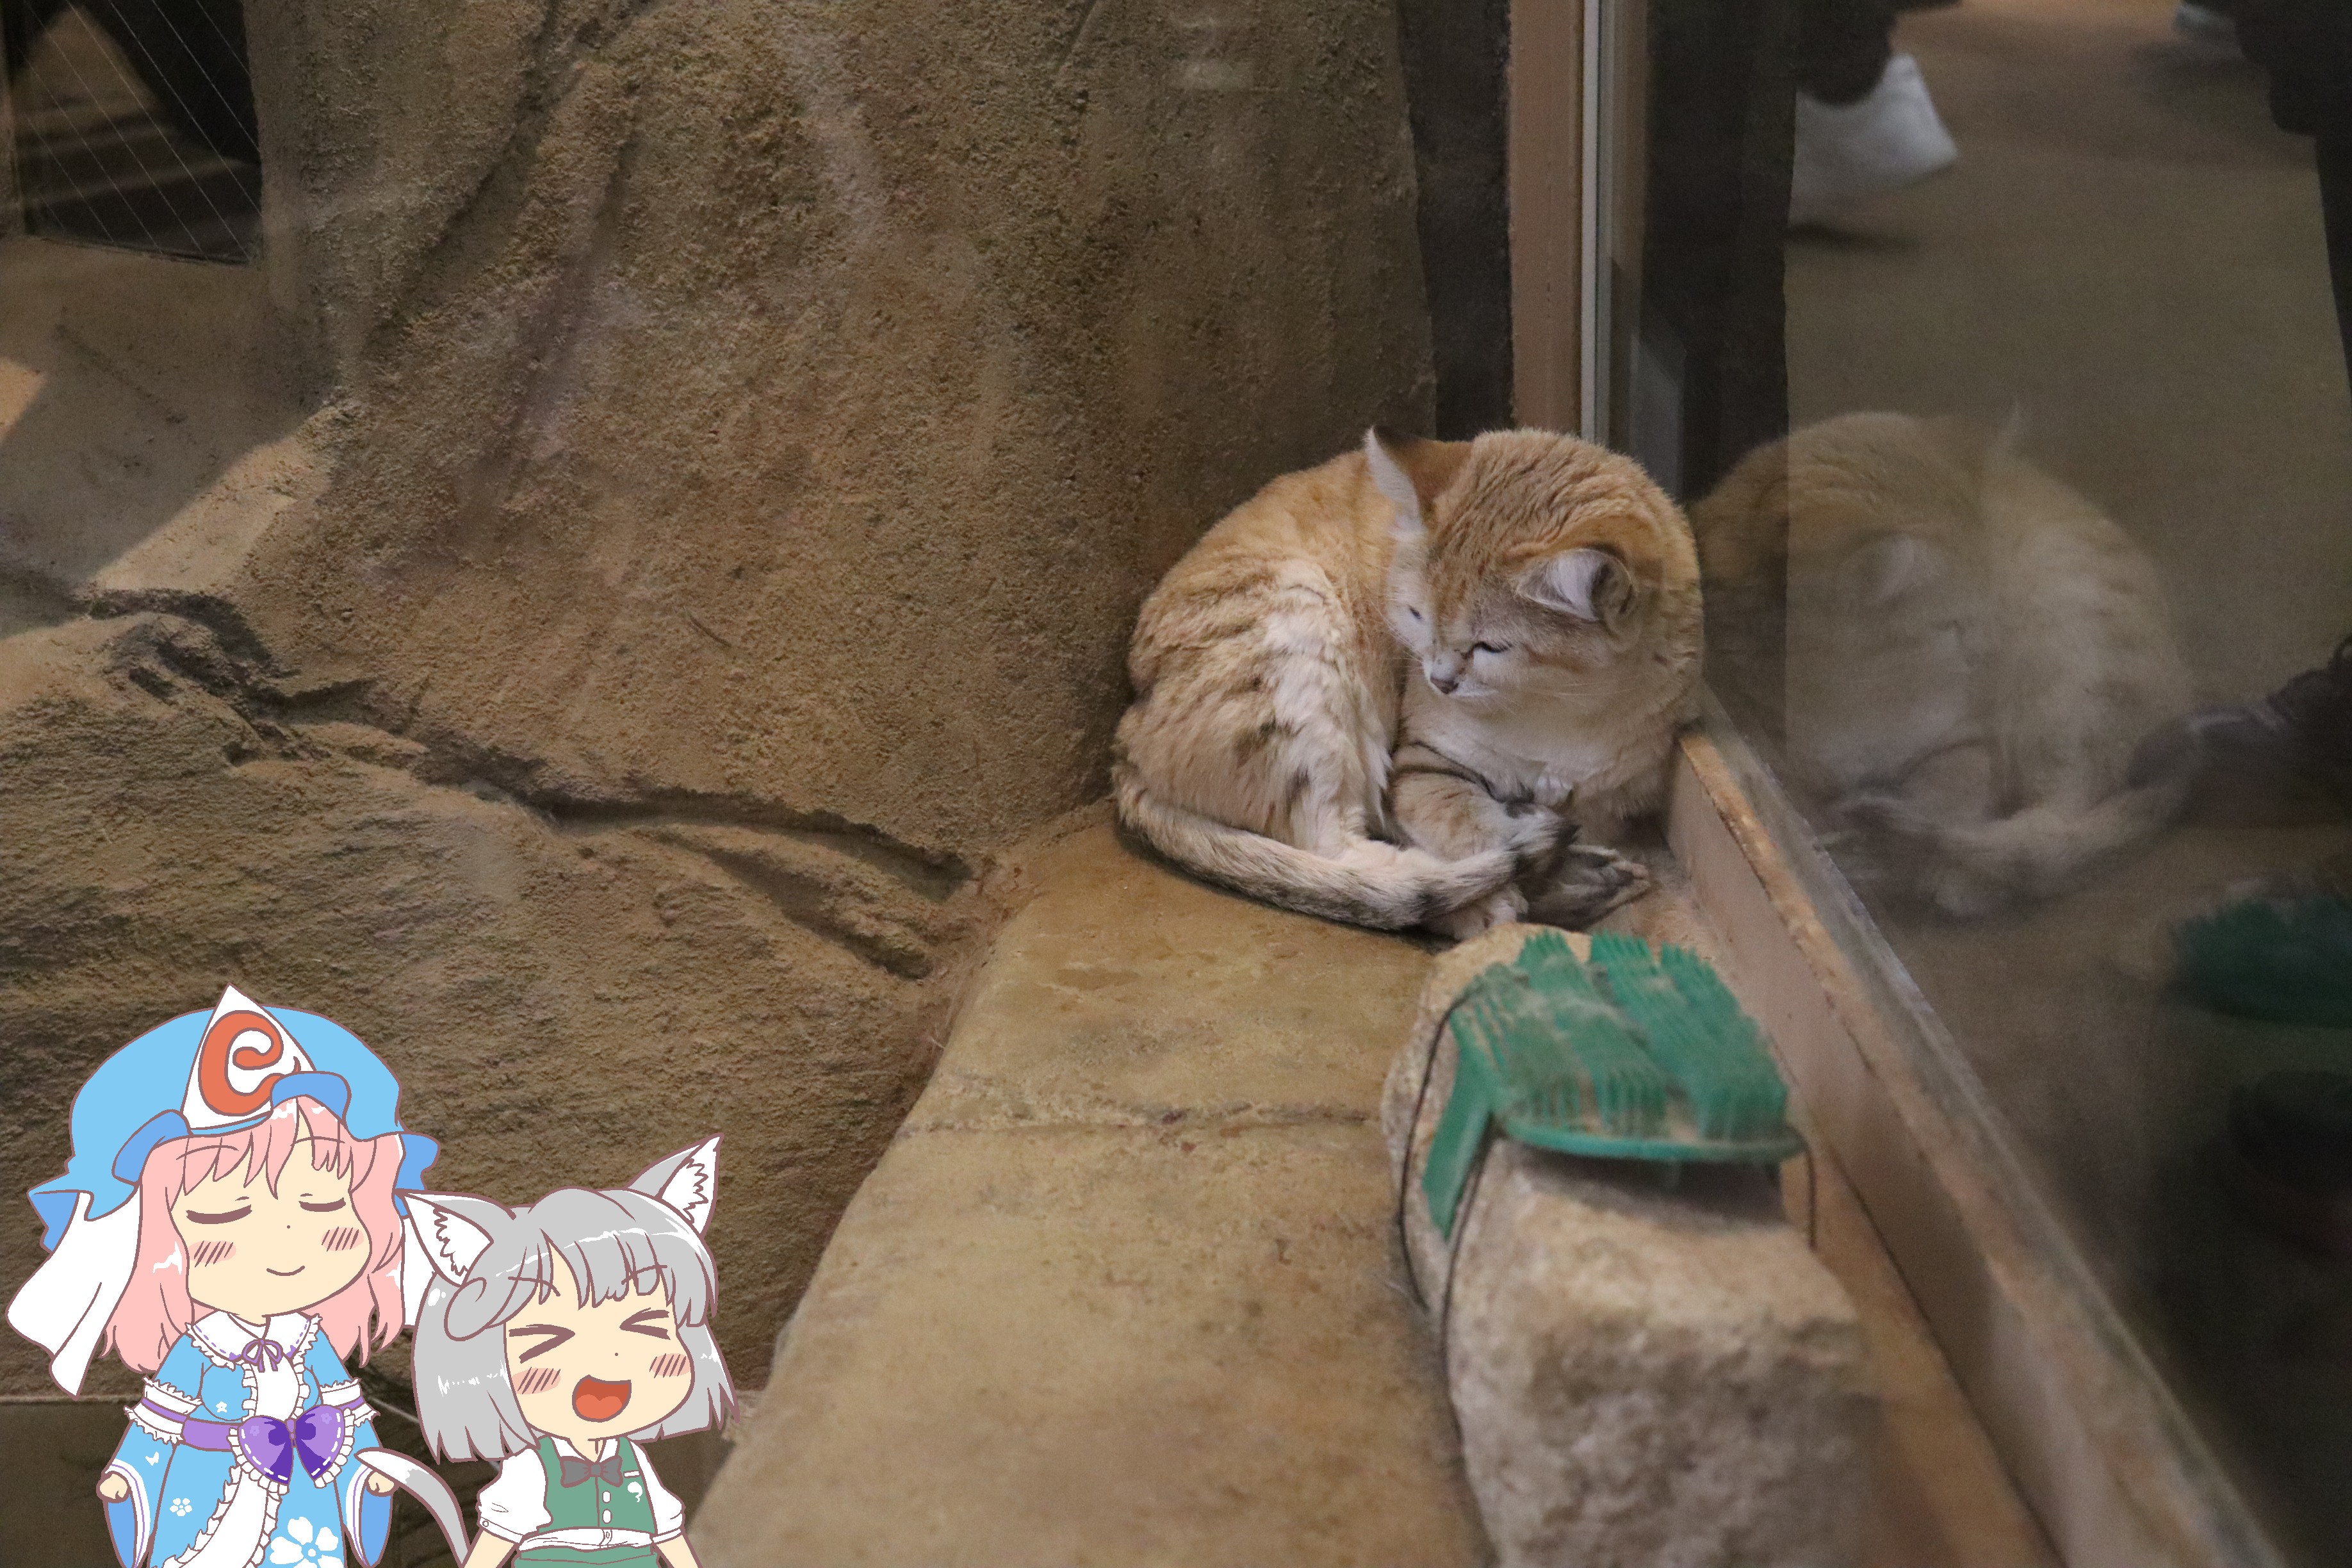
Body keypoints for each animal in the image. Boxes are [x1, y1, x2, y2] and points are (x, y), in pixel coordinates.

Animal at [1112, 427, 1704, 937]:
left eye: (1491, 647)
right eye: (1416, 616)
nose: (1439, 679)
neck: (1559, 705)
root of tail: (1127, 736)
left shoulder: (1617, 791)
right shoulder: (1421, 762)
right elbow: (1470, 824)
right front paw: (1522, 856)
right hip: (1300, 635)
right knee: (1348, 857)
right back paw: (1497, 897)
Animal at [1691, 411, 2194, 916]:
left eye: (1993, 593)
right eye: (1952, 624)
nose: (1992, 651)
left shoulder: (1971, 742)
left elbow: (1950, 794)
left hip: (2065, 663)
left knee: (2056, 822)